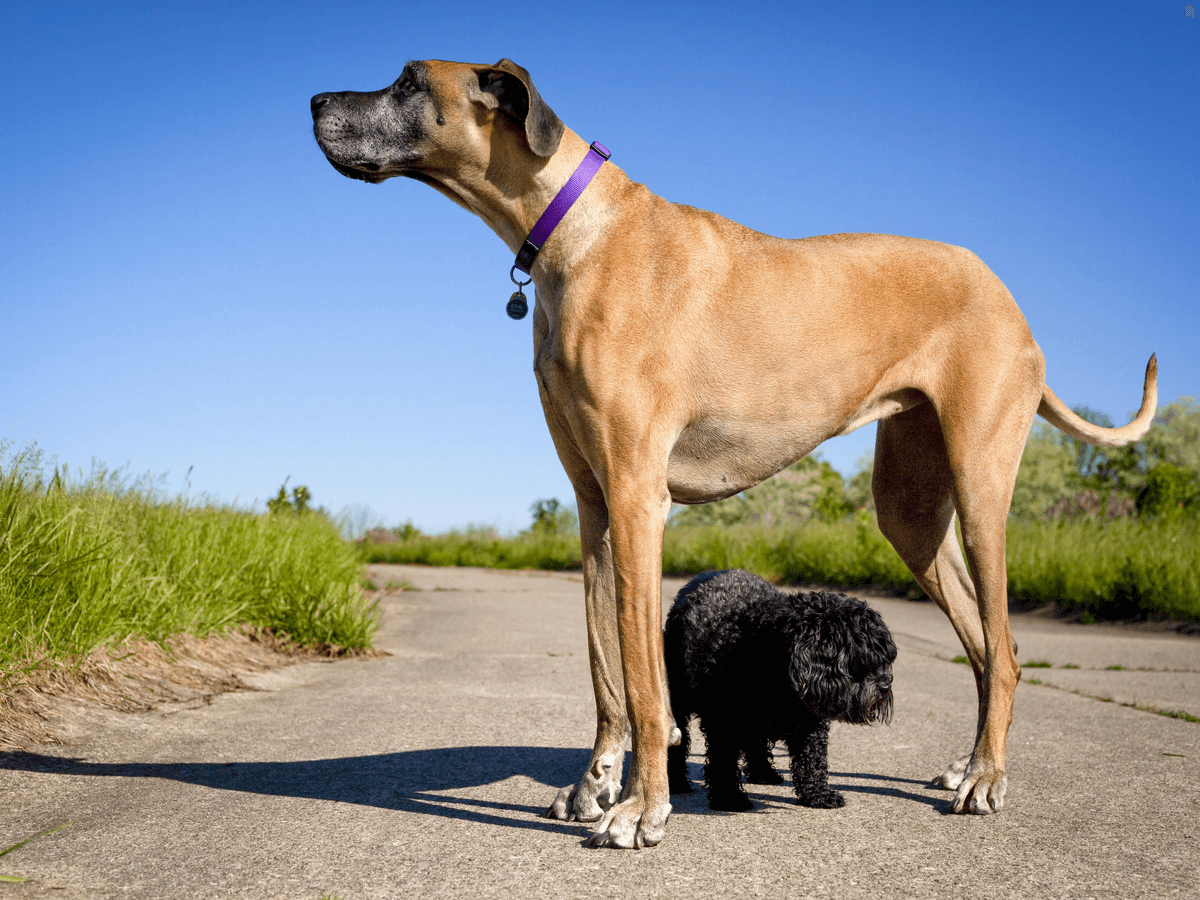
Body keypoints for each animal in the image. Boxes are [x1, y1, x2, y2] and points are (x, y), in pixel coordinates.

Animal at [662, 573, 897, 816]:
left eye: (883, 659)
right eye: (858, 660)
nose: (885, 686)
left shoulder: (809, 723)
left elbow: (812, 761)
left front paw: (818, 794)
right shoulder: (722, 722)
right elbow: (723, 761)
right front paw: (729, 798)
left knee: (755, 743)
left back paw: (763, 773)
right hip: (679, 699)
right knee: (678, 742)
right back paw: (677, 782)